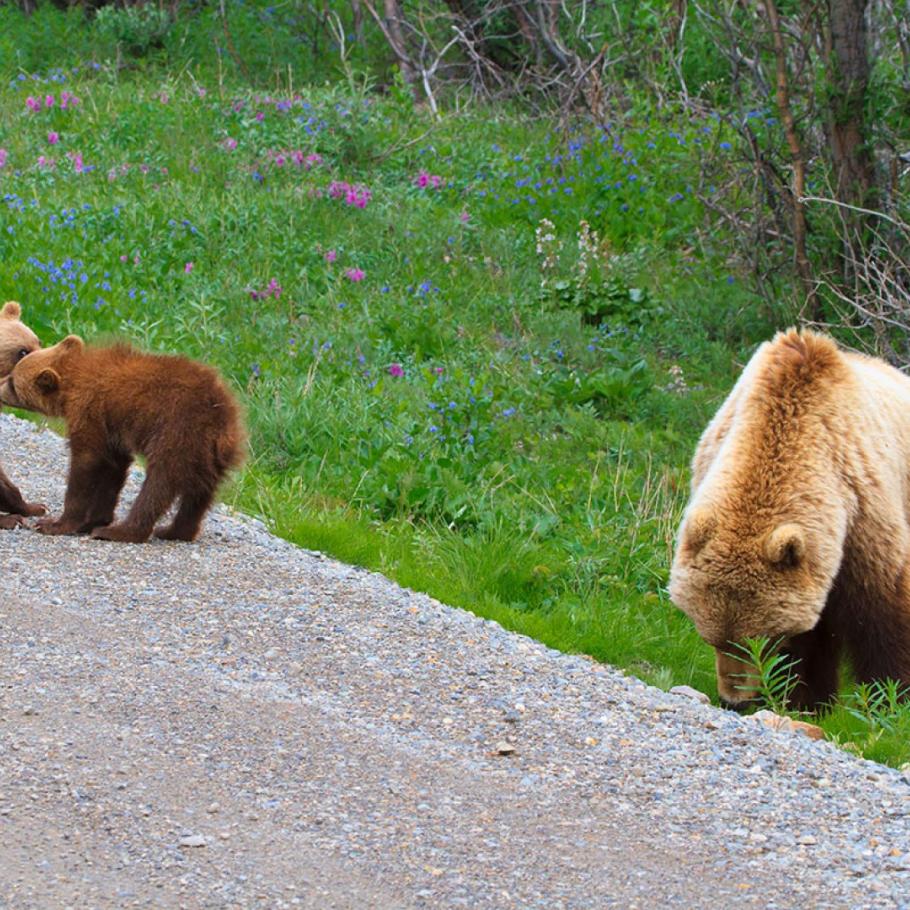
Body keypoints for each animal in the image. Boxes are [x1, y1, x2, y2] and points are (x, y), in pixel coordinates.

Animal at [668, 328, 910, 712]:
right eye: (712, 638)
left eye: (759, 638)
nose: (733, 700)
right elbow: (809, 640)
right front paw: (806, 699)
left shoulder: (865, 516)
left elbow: (884, 613)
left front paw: (890, 699)